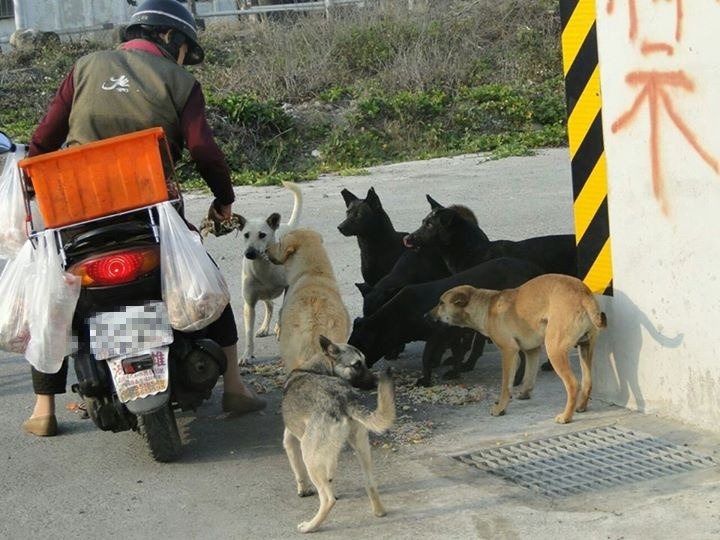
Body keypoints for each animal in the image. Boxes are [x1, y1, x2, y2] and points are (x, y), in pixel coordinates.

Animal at [238, 180, 302, 362]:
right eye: (246, 235)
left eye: (262, 235)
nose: (249, 253)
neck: (263, 267)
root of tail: (286, 225)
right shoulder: (249, 303)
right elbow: (248, 332)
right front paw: (247, 355)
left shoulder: (288, 287)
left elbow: (283, 310)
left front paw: (280, 329)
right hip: (263, 294)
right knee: (270, 305)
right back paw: (264, 328)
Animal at [282, 336, 396, 532]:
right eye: (357, 364)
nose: (376, 381)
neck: (315, 368)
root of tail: (344, 397)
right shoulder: (330, 454)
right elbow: (330, 473)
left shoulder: (290, 439)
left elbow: (298, 471)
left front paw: (303, 490)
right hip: (362, 448)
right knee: (370, 483)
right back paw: (379, 511)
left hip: (309, 455)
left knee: (327, 500)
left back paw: (311, 526)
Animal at [346, 256, 544, 384]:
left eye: (361, 350)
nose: (355, 383)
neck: (400, 315)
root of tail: (532, 269)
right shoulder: (452, 334)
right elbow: (456, 353)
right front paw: (455, 372)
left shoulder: (436, 335)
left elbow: (426, 357)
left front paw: (425, 380)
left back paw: (518, 379)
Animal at [428, 274, 608, 422]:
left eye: (441, 303)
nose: (426, 316)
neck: (486, 306)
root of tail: (583, 296)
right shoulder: (532, 351)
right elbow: (529, 376)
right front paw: (524, 393)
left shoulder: (509, 351)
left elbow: (506, 386)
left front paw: (500, 408)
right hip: (585, 347)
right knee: (587, 381)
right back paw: (581, 407)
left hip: (555, 349)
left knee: (573, 385)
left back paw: (565, 417)